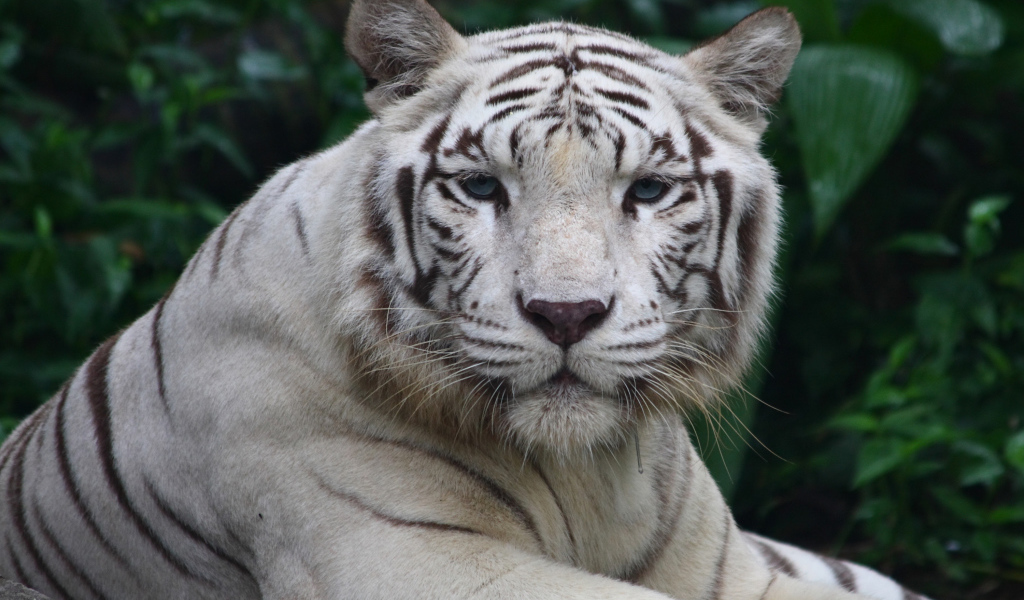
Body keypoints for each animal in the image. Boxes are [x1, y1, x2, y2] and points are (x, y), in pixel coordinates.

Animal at [0, 1, 932, 599]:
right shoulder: (406, 559)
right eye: (482, 187)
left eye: (649, 191)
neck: (588, 472)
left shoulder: (729, 566)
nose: (566, 315)